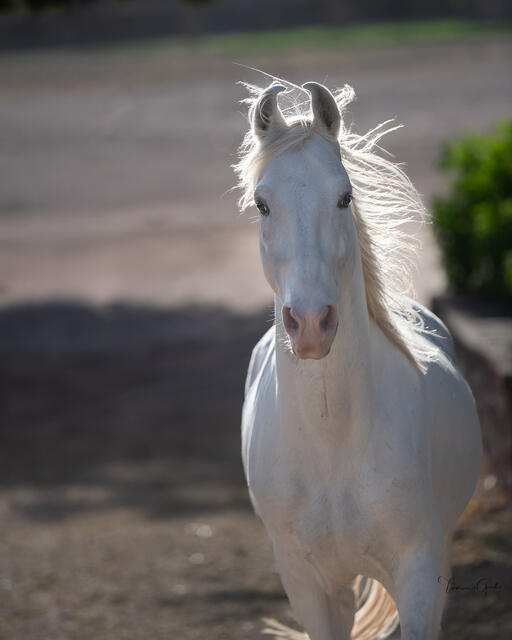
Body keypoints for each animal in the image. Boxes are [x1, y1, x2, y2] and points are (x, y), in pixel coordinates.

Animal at [234, 78, 482, 640]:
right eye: (262, 204)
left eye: (344, 197)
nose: (310, 325)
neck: (333, 442)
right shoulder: (311, 586)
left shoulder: (419, 575)